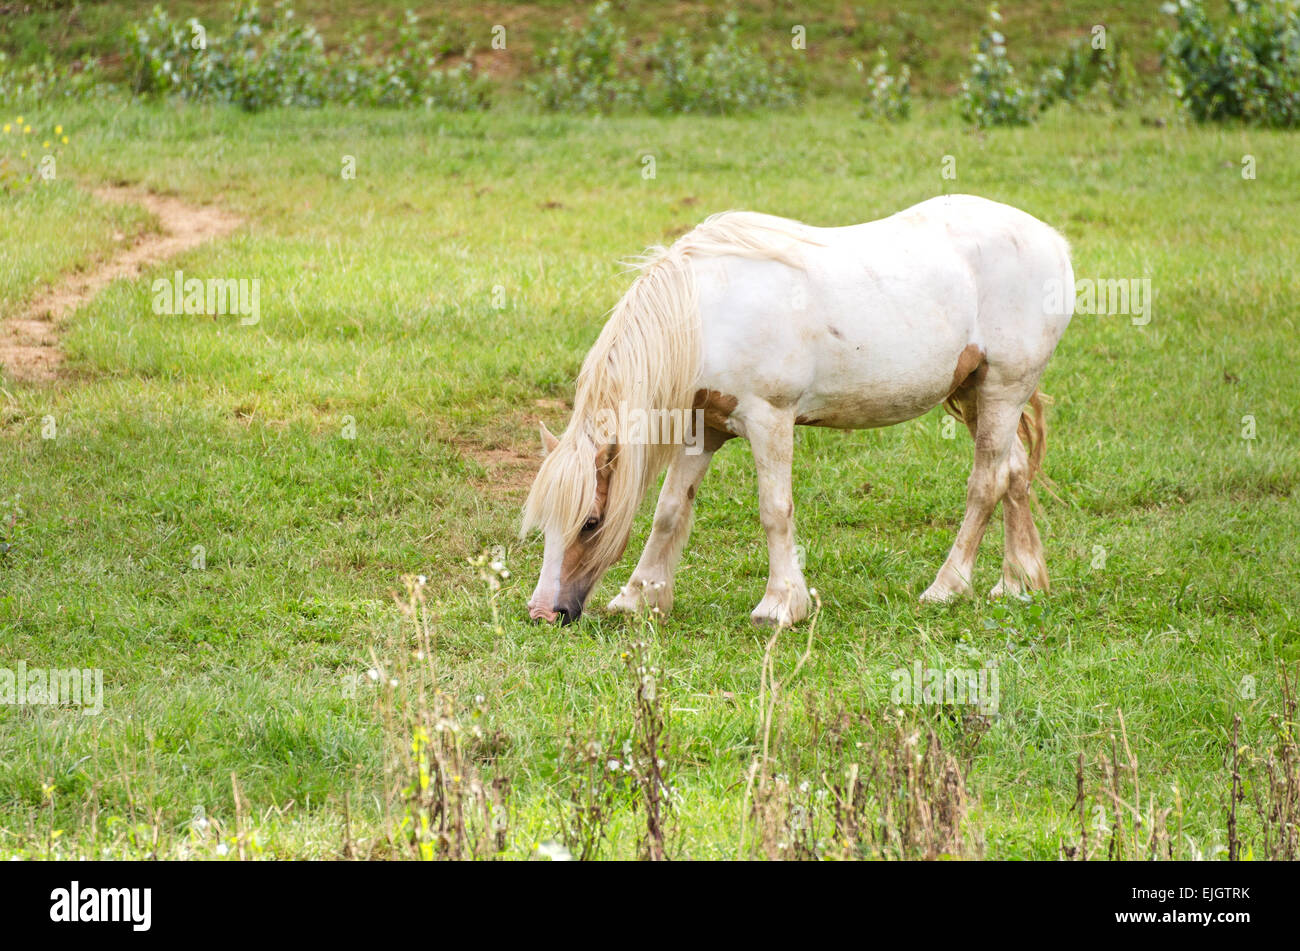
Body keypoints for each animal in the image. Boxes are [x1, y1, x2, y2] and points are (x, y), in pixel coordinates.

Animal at [522, 194, 1074, 627]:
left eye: (590, 522)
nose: (544, 613)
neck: (706, 315)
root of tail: (1052, 241)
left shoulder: (771, 420)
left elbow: (775, 510)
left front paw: (781, 605)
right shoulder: (704, 430)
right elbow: (669, 510)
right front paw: (640, 597)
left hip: (1004, 389)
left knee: (986, 484)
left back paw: (947, 587)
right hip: (977, 393)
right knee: (1015, 473)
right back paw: (1017, 583)